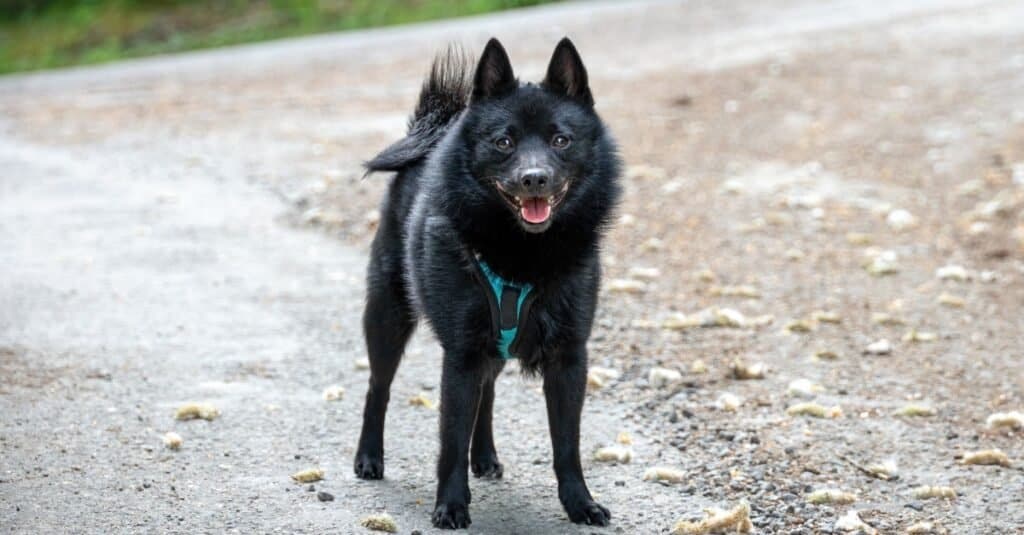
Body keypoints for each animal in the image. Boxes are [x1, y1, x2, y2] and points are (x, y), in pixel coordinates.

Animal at [352, 36, 622, 524]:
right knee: (378, 388)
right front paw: (450, 505)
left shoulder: (569, 357)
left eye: (561, 140)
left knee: (489, 389)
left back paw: (485, 456)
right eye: (503, 142)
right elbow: (450, 441)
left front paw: (581, 503)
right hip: (387, 315)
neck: (524, 253)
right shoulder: (460, 355)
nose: (534, 179)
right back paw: (368, 457)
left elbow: (567, 445)